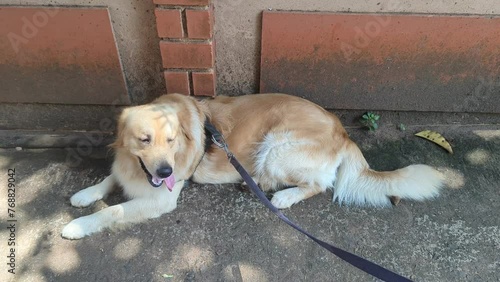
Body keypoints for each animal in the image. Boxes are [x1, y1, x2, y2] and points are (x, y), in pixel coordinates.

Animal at [61, 93, 442, 239]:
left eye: (170, 141)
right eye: (144, 140)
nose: (166, 172)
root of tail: (343, 131)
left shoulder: (161, 197)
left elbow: (113, 211)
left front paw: (78, 225)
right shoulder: (129, 168)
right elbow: (108, 179)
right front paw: (84, 195)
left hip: (276, 146)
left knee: (319, 185)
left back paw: (282, 196)